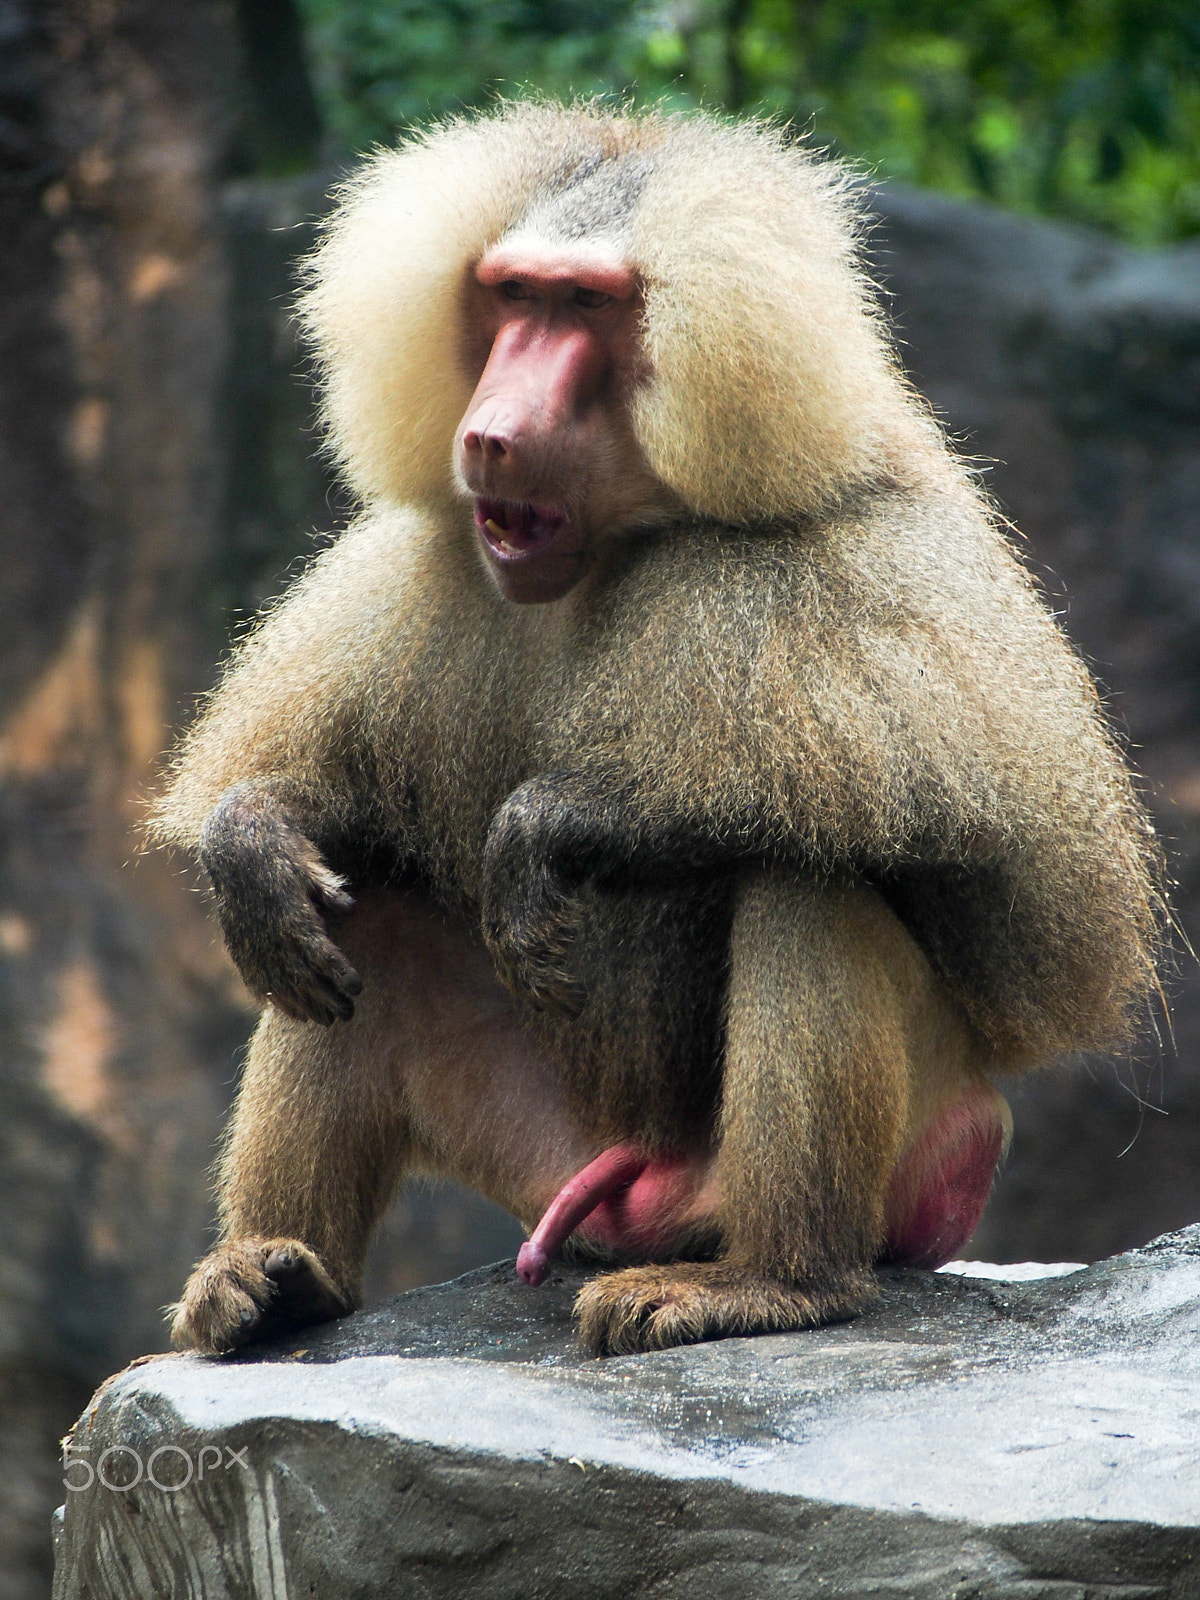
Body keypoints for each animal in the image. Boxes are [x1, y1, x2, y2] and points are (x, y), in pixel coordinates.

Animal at [156, 101, 1162, 1359]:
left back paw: (773, 1282)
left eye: (585, 306)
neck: (630, 536)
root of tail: (651, 1182)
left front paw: (554, 826)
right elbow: (345, 824)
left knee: (808, 880)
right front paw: (250, 838)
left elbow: (1007, 873)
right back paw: (270, 1278)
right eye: (511, 296)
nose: (489, 436)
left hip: (891, 1142)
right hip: (540, 1143)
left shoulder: (873, 549)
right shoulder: (434, 562)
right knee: (358, 920)